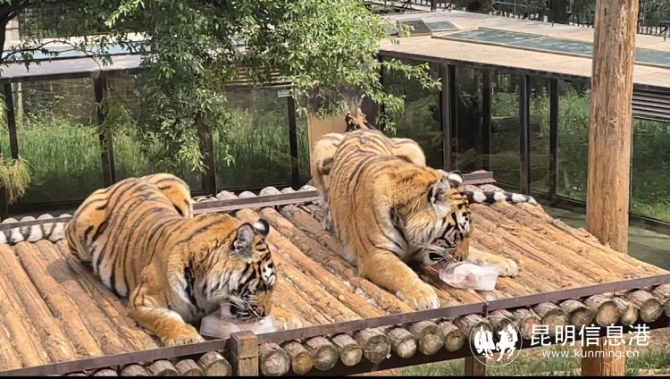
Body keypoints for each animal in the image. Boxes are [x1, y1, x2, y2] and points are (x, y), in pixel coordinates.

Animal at [63, 175, 302, 348]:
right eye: (261, 286)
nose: (264, 314)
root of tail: (120, 181)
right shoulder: (142, 300)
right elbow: (165, 318)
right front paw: (184, 336)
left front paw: (287, 316)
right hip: (80, 230)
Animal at [322, 130, 540, 312]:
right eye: (458, 234)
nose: (461, 259)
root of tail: (360, 129)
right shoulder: (375, 254)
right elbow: (401, 273)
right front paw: (425, 296)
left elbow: (478, 253)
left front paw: (505, 263)